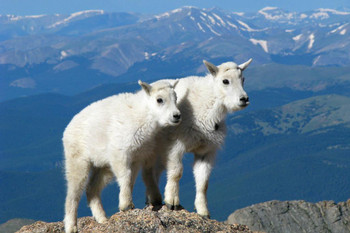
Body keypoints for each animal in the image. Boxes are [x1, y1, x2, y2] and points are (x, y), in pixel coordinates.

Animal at [62, 80, 180, 233]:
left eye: (176, 98)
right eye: (159, 99)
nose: (176, 116)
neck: (143, 116)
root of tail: (67, 129)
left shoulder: (139, 155)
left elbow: (134, 178)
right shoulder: (120, 152)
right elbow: (126, 175)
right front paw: (126, 205)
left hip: (103, 166)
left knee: (92, 189)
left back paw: (102, 220)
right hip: (77, 159)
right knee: (73, 193)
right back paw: (71, 226)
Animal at [142, 58, 252, 218]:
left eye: (243, 79)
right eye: (225, 81)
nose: (244, 99)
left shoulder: (205, 151)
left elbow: (203, 182)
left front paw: (203, 212)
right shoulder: (174, 145)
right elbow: (176, 172)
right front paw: (172, 202)